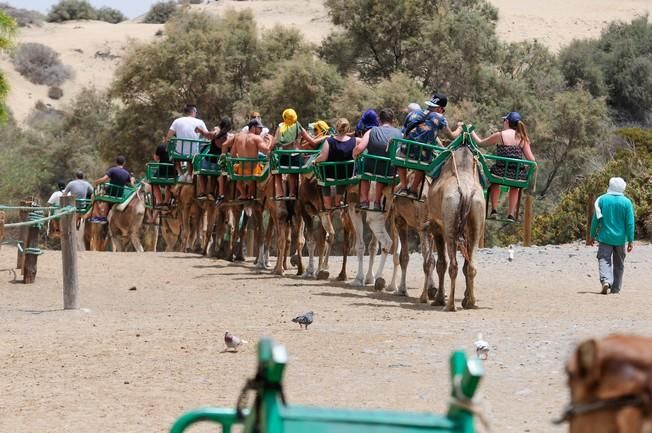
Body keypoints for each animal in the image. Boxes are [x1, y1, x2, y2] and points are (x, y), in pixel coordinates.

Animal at [426, 143, 486, 308]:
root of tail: (465, 192)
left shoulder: (437, 226)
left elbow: (441, 264)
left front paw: (439, 299)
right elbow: (465, 266)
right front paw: (466, 298)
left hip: (449, 226)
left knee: (452, 265)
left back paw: (450, 305)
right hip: (477, 218)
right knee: (471, 266)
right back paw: (471, 302)